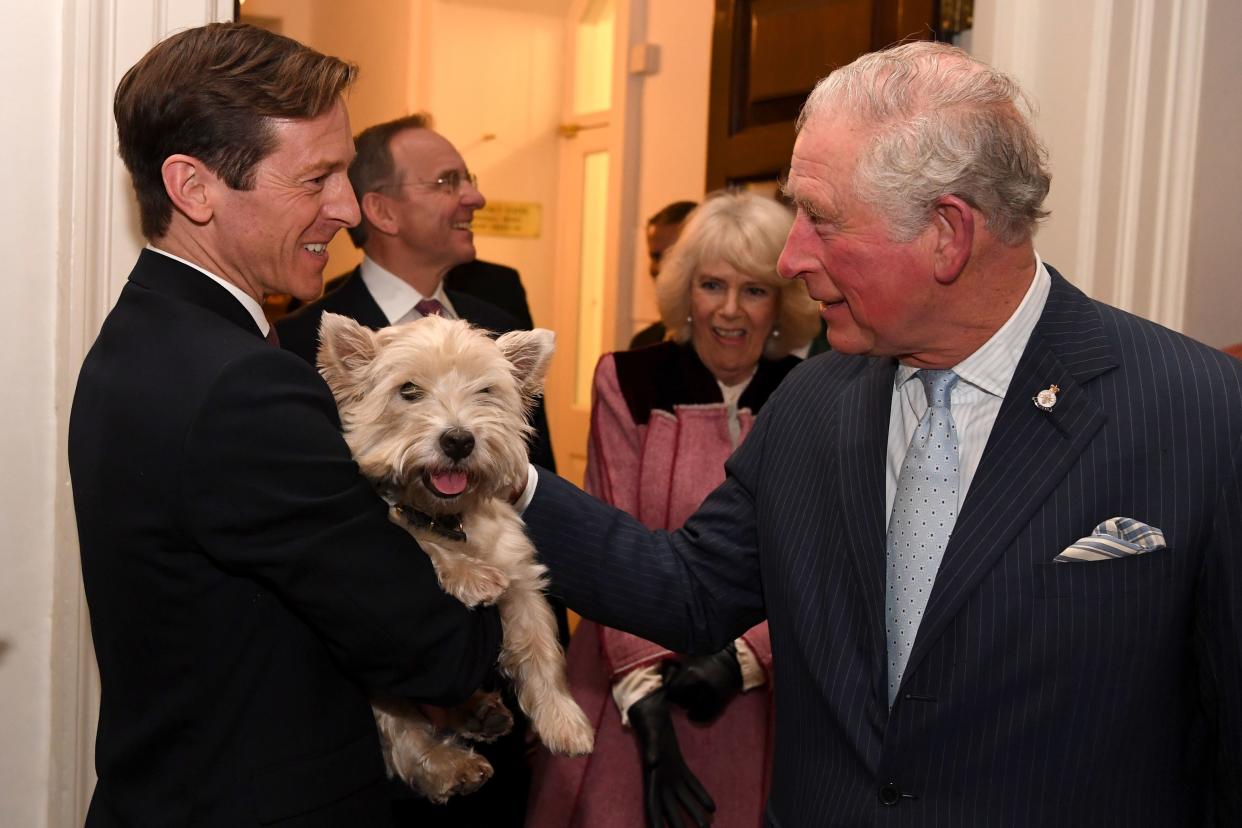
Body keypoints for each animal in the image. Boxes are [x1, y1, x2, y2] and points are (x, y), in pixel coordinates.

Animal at [317, 312, 593, 804]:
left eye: (485, 391)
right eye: (408, 390)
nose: (459, 440)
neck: (450, 518)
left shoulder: (522, 576)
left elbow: (541, 648)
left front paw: (564, 722)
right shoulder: (393, 524)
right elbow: (415, 538)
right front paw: (471, 575)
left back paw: (480, 712)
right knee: (401, 730)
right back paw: (449, 766)